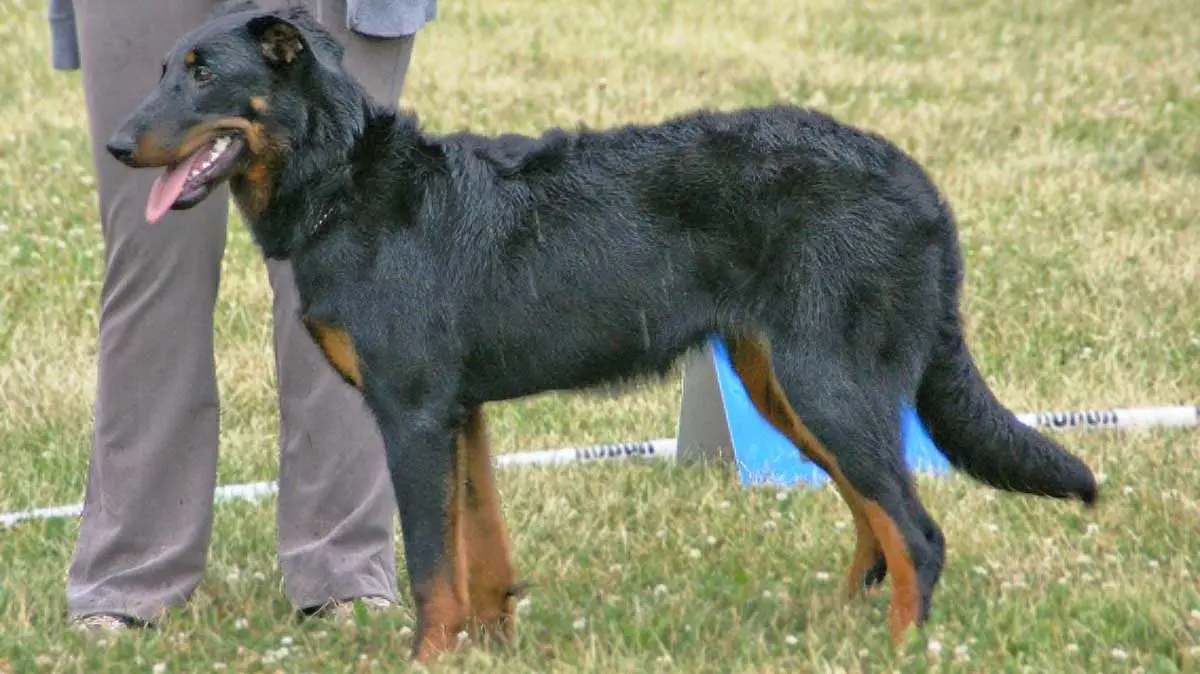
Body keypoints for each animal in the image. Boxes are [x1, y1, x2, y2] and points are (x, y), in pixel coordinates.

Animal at [108, 0, 1099, 662]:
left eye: (203, 72)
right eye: (158, 69)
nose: (116, 145)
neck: (345, 181)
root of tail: (917, 180)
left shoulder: (413, 415)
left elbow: (431, 567)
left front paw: (431, 657)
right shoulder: (460, 415)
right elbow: (481, 552)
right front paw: (490, 647)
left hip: (827, 384)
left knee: (915, 533)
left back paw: (895, 651)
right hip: (788, 389)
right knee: (876, 521)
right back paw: (837, 632)